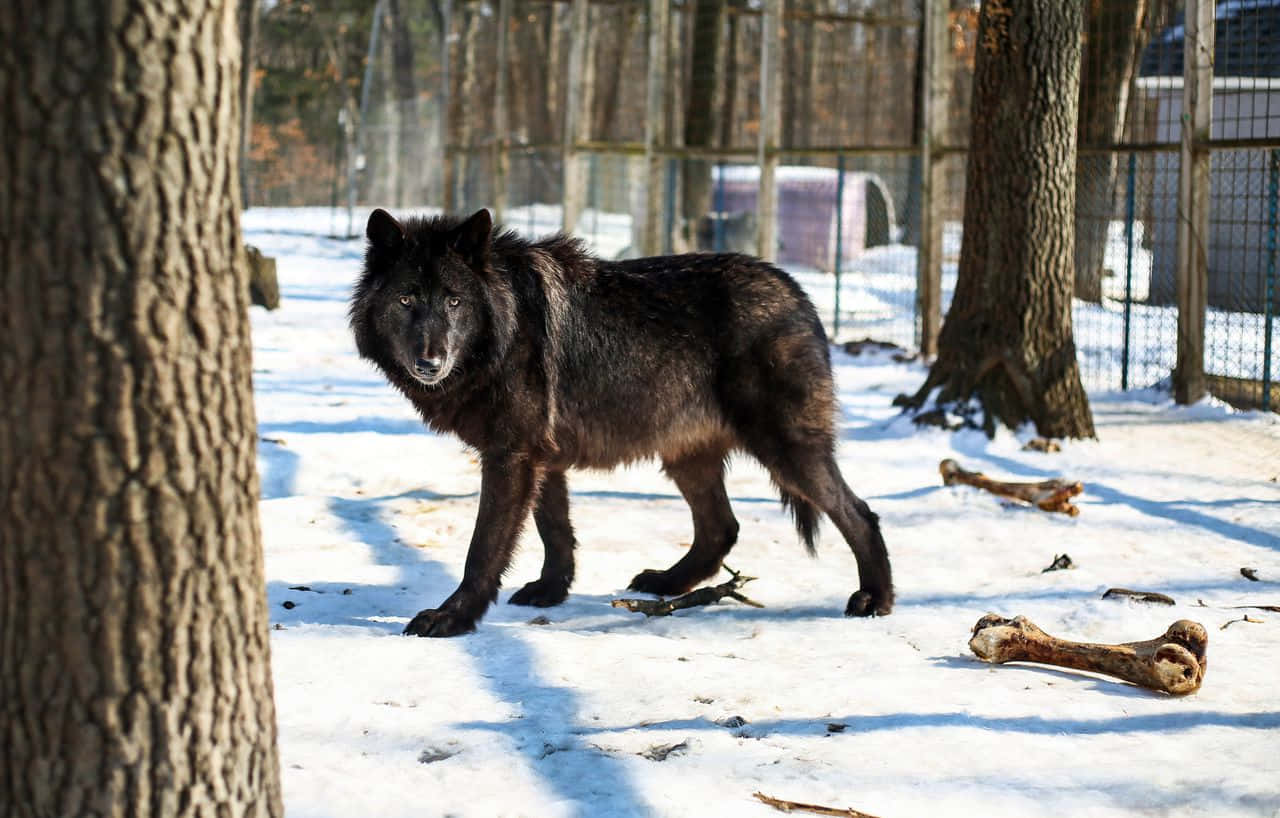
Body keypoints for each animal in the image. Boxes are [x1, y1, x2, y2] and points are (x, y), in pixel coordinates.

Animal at [348, 207, 890, 637]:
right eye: (406, 300)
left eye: (454, 301)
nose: (430, 362)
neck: (504, 327)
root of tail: (798, 292)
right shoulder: (541, 459)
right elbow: (555, 532)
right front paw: (550, 591)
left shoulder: (511, 456)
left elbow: (483, 549)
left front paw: (452, 618)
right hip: (687, 458)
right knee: (722, 528)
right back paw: (666, 584)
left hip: (785, 451)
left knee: (860, 513)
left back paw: (876, 600)